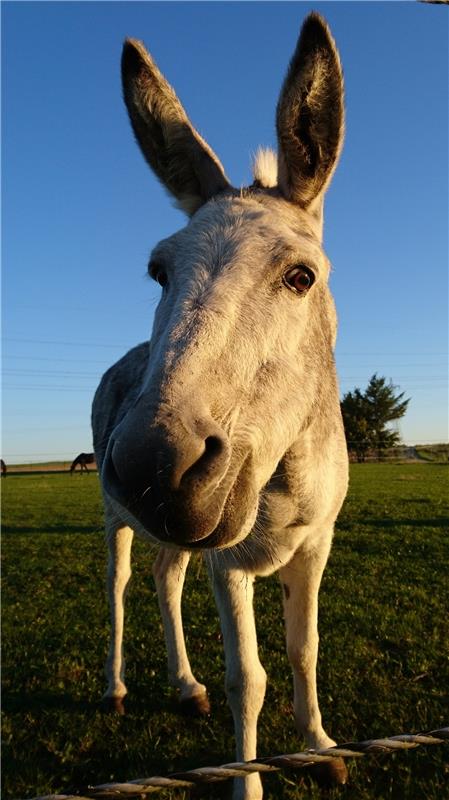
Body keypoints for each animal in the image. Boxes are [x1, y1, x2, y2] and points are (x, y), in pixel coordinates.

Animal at [93, 14, 348, 800]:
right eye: (158, 271)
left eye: (300, 277)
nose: (154, 468)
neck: (282, 486)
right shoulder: (227, 565)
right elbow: (249, 680)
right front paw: (249, 782)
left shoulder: (315, 546)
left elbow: (304, 651)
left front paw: (321, 746)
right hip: (118, 518)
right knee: (122, 583)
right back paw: (116, 688)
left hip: (173, 532)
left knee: (164, 578)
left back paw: (184, 687)